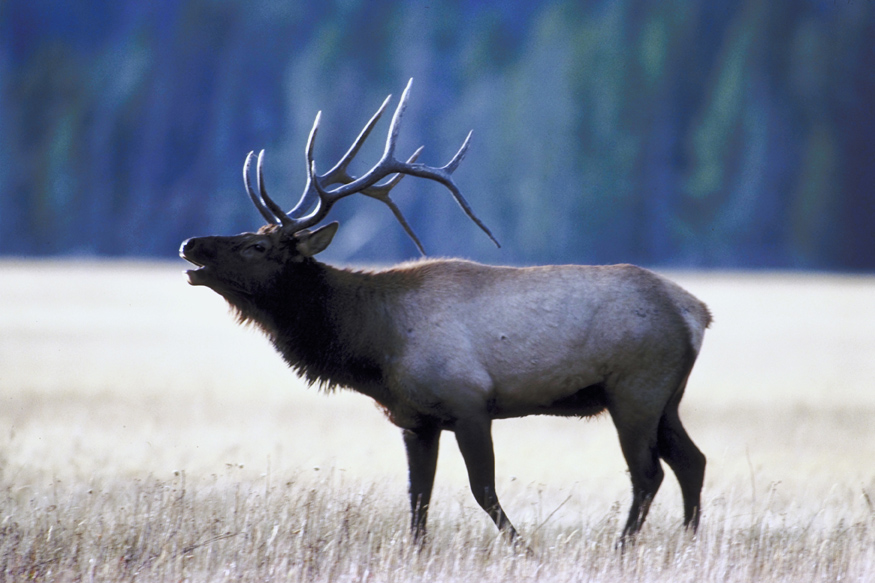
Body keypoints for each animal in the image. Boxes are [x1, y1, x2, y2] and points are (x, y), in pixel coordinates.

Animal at [180, 78, 712, 544]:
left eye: (256, 246)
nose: (190, 244)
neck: (375, 344)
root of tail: (696, 312)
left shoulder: (469, 402)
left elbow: (484, 491)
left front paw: (524, 548)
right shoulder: (416, 420)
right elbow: (418, 498)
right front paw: (417, 551)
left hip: (635, 390)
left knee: (648, 473)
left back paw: (624, 547)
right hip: (667, 397)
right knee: (693, 461)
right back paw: (686, 543)